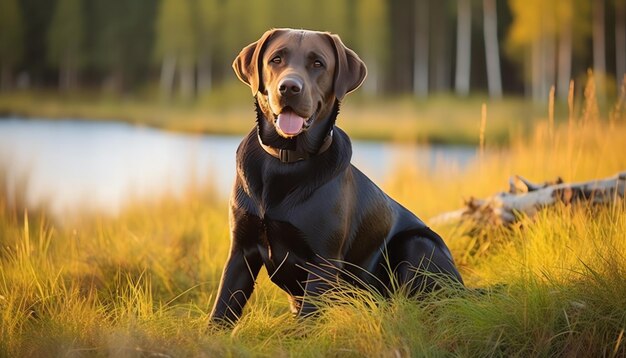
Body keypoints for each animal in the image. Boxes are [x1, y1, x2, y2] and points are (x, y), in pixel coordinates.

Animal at [211, 28, 464, 324]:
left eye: (318, 63)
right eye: (276, 59)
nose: (289, 87)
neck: (286, 160)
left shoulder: (323, 261)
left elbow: (306, 320)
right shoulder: (241, 250)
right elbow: (222, 308)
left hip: (418, 244)